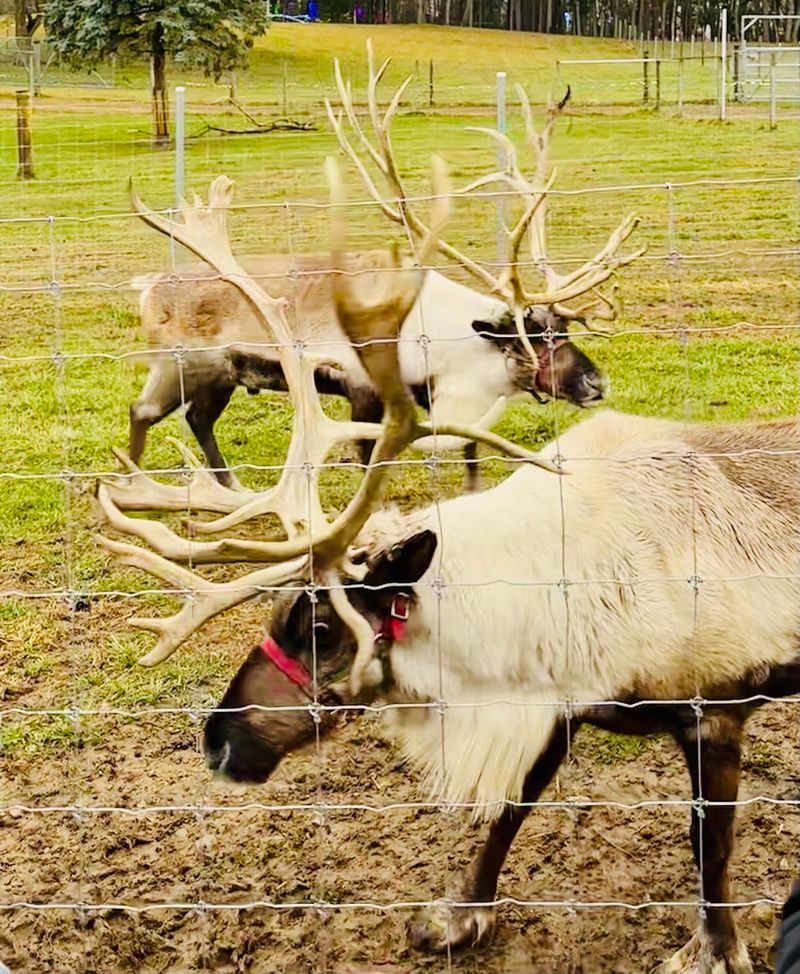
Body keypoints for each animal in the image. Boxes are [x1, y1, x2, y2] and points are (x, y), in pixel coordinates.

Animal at [126, 42, 642, 494]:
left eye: (564, 330)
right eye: (531, 339)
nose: (597, 382)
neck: (441, 337)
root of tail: (149, 287)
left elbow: (470, 454)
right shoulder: (363, 392)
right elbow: (366, 463)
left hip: (218, 378)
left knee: (193, 418)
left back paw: (225, 484)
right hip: (183, 368)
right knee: (144, 411)